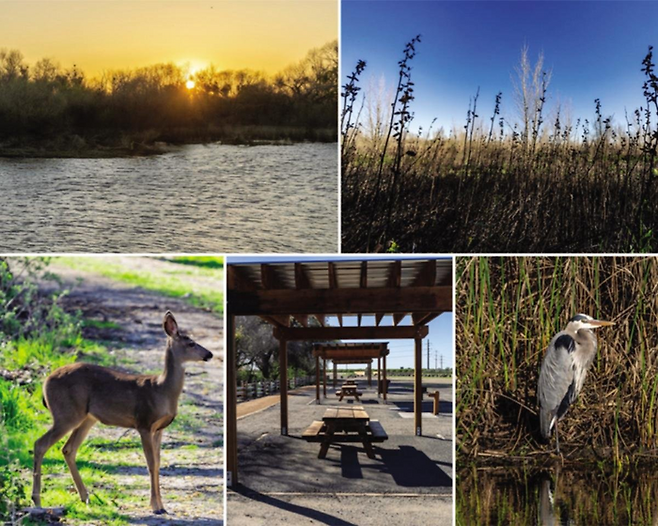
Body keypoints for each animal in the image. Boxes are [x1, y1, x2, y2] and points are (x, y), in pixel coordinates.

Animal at [32, 314, 211, 516]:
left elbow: (158, 464)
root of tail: (45, 382)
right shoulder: (144, 423)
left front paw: (161, 506)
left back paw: (85, 497)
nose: (209, 354)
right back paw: (37, 500)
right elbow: (150, 464)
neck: (162, 390)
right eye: (191, 343)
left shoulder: (159, 429)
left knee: (68, 449)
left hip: (87, 418)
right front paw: (155, 507)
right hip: (66, 413)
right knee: (40, 444)